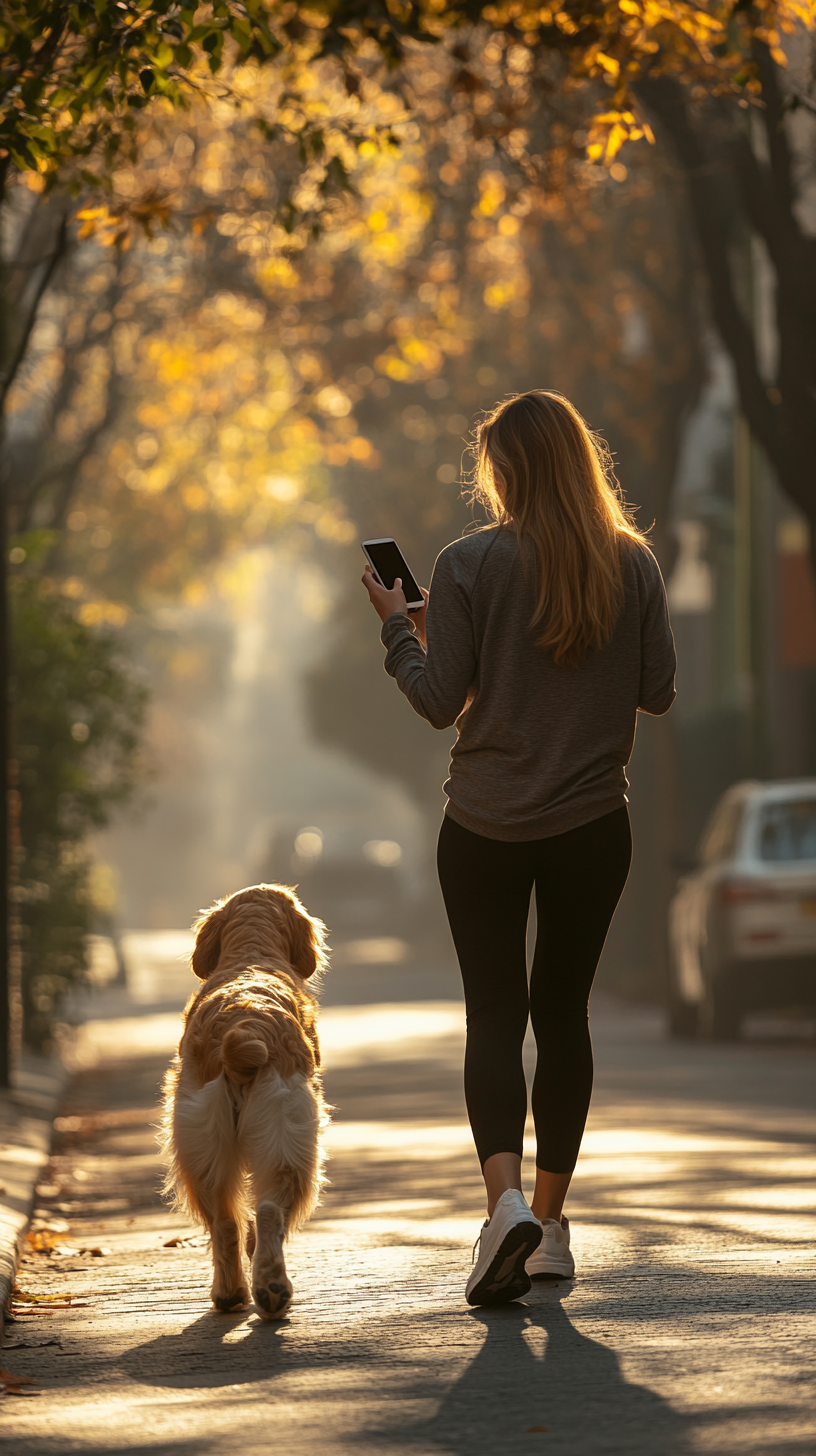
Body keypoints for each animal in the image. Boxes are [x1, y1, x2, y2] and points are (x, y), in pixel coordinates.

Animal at [161, 885, 326, 1322]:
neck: (251, 954)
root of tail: (246, 1023)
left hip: (204, 1149)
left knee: (227, 1221)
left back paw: (245, 1291)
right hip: (292, 1144)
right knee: (268, 1212)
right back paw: (259, 1291)